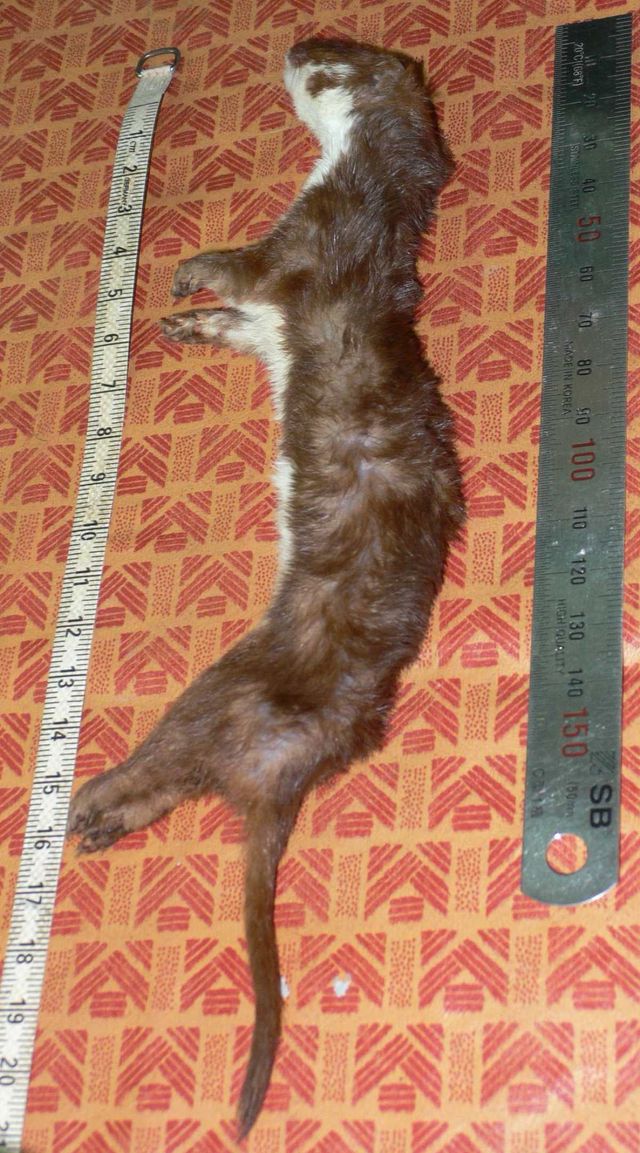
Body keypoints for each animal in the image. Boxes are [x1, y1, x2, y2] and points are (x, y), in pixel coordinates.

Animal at [68, 37, 464, 1139]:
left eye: (328, 56)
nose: (290, 42)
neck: (359, 195)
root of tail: (302, 758)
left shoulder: (296, 251)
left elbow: (239, 268)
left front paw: (184, 271)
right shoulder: (268, 317)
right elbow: (236, 325)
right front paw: (180, 325)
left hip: (220, 687)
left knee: (166, 759)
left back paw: (86, 800)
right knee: (175, 785)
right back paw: (101, 823)